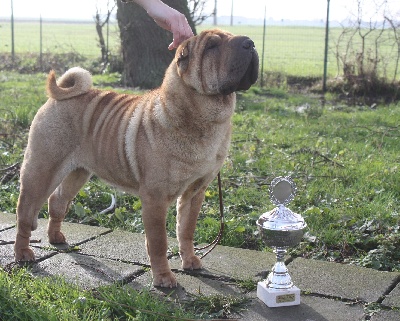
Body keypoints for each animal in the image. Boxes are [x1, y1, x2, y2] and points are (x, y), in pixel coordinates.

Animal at [14, 28, 258, 286]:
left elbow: (186, 230)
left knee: (57, 201)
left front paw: (190, 261)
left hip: (78, 173)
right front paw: (164, 278)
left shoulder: (195, 193)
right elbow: (159, 241)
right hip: (42, 171)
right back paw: (23, 253)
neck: (204, 118)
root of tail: (58, 97)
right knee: (26, 213)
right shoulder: (155, 198)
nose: (250, 43)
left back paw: (55, 237)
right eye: (212, 46)